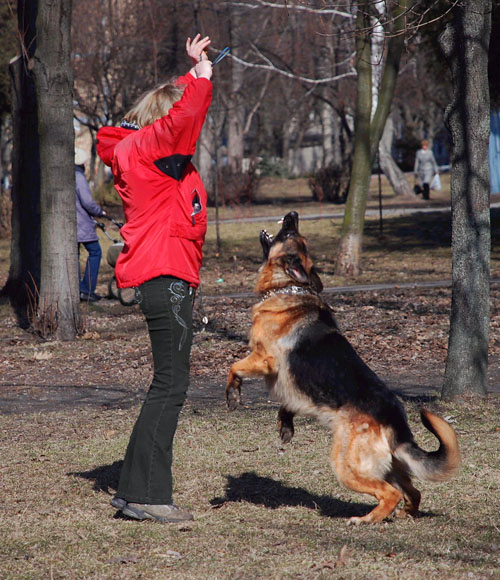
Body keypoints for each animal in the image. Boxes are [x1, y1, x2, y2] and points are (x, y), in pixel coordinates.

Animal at [227, 213, 460, 524]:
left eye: (290, 233)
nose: (293, 216)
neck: (287, 286)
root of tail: (396, 423)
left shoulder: (265, 360)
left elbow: (234, 367)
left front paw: (233, 395)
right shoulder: (290, 384)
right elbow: (287, 405)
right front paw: (286, 425)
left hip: (346, 464)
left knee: (390, 493)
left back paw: (367, 519)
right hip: (389, 467)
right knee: (414, 491)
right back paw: (402, 515)